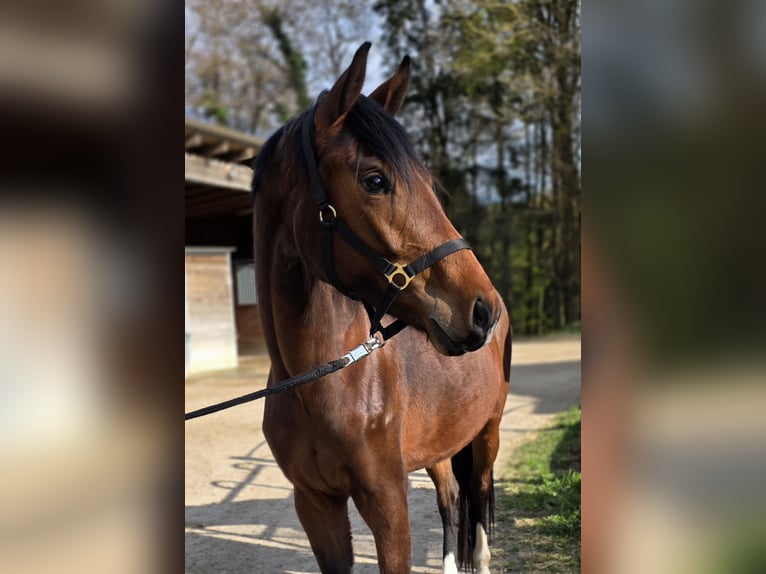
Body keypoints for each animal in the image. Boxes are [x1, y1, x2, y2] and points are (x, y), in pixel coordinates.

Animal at [252, 42, 511, 573]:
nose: (482, 309)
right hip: (440, 445)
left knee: (477, 498)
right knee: (451, 498)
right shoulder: (316, 506)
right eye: (375, 180)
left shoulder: (387, 501)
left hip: (487, 435)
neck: (322, 382)